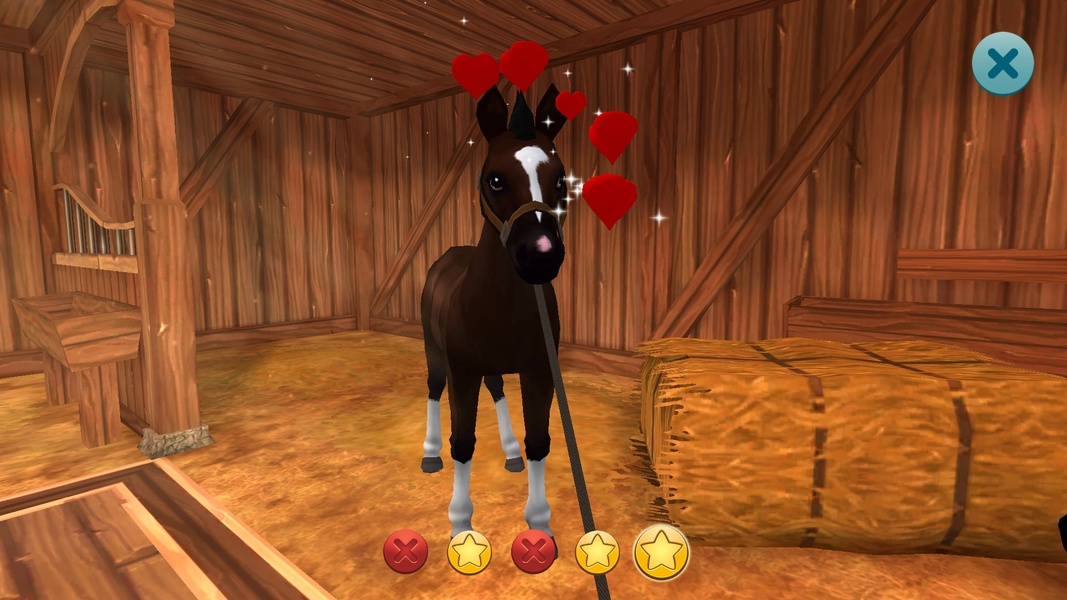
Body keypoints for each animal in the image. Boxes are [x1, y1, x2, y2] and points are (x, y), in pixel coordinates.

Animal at [419, 83, 569, 541]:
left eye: (561, 179)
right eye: (495, 179)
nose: (541, 256)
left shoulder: (540, 370)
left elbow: (539, 440)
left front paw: (539, 523)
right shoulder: (462, 372)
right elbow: (463, 443)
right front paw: (460, 524)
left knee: (499, 387)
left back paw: (510, 453)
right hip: (434, 351)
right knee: (433, 389)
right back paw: (429, 455)